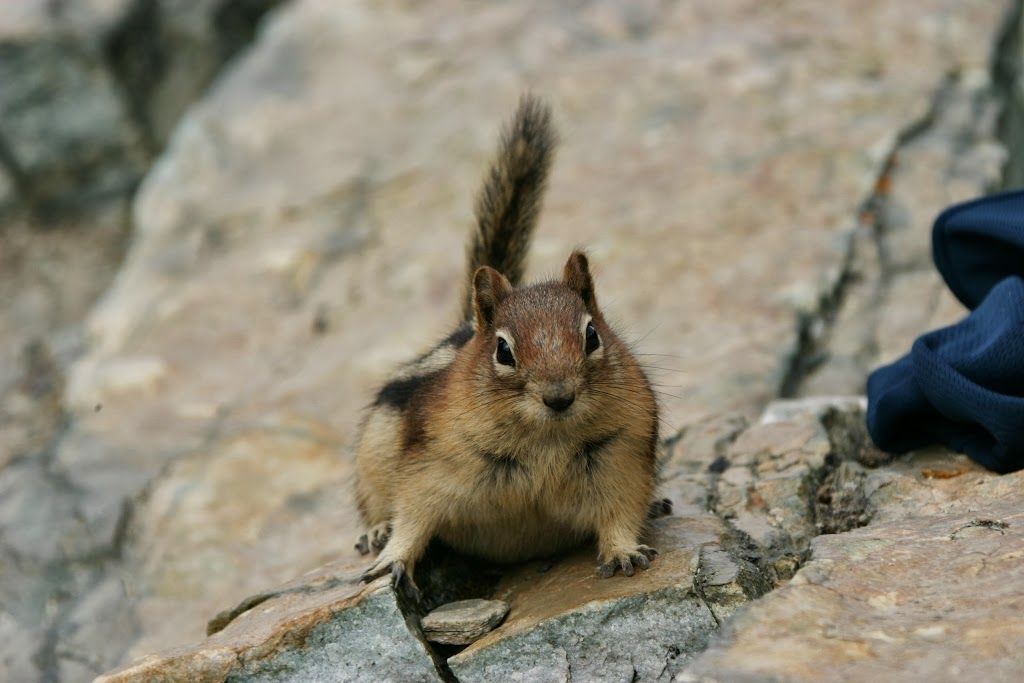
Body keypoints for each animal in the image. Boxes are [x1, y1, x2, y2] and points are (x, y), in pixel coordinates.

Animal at [354, 95, 662, 594]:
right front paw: (392, 556)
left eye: (591, 335)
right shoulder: (430, 466)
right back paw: (375, 529)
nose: (559, 397)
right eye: (503, 351)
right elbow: (413, 517)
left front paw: (624, 551)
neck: (546, 441)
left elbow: (621, 512)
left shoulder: (623, 459)